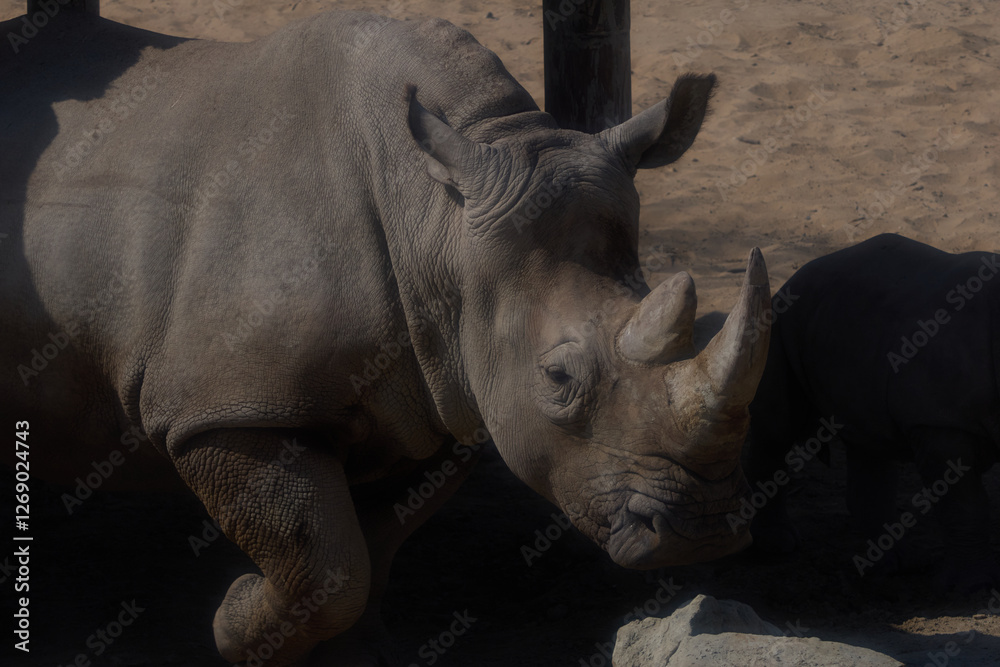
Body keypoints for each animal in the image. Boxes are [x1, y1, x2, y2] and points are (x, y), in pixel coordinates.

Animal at [1, 10, 772, 665]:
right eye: (557, 380)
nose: (702, 530)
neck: (437, 219)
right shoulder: (225, 405)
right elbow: (326, 561)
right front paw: (232, 625)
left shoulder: (441, 393)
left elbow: (373, 544)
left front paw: (356, 653)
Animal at [745, 233, 999, 592]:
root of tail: (795, 277)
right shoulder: (941, 422)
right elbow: (965, 502)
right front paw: (971, 588)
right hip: (779, 322)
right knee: (777, 431)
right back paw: (778, 546)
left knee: (870, 445)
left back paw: (900, 566)